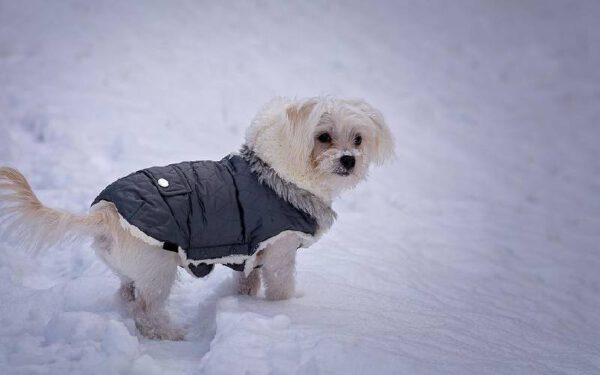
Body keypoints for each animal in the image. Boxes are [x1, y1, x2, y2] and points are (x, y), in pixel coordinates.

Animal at [0, 96, 396, 340]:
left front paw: (245, 302)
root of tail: (105, 213)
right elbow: (281, 286)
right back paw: (169, 333)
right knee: (146, 311)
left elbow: (247, 281)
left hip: (133, 269)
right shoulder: (280, 251)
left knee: (126, 293)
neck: (277, 174)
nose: (349, 160)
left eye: (358, 140)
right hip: (158, 268)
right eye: (323, 137)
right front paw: (285, 310)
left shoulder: (251, 254)